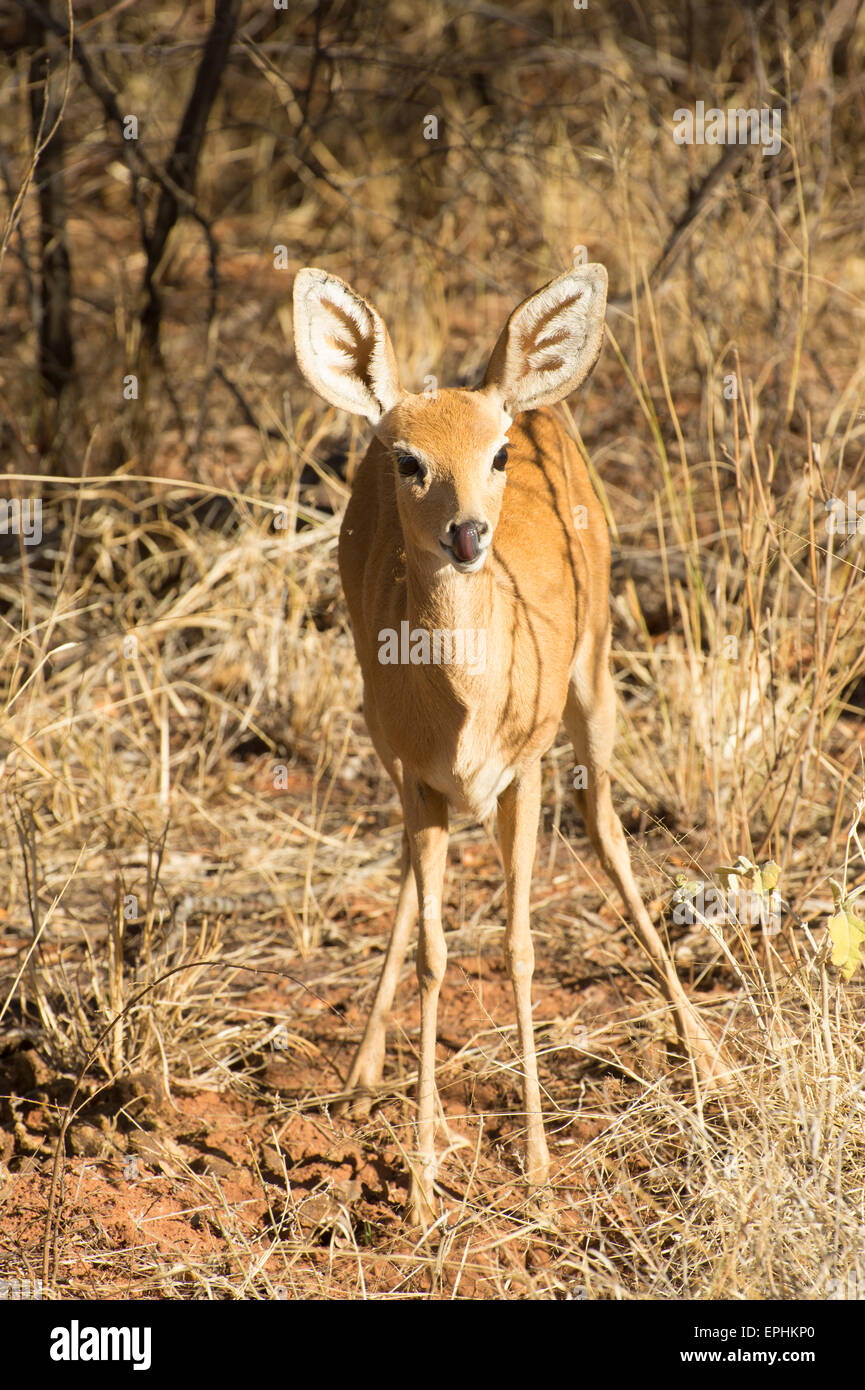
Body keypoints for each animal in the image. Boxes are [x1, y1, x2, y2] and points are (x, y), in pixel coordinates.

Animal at [294, 265, 728, 1223]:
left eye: (495, 456)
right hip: (383, 742)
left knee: (607, 832)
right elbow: (434, 954)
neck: (463, 709)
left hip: (593, 682)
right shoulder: (420, 778)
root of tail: (515, 385)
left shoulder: (523, 770)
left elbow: (520, 948)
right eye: (406, 459)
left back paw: (708, 1057)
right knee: (409, 880)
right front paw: (422, 1181)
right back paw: (361, 1073)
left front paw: (531, 1162)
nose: (466, 535)